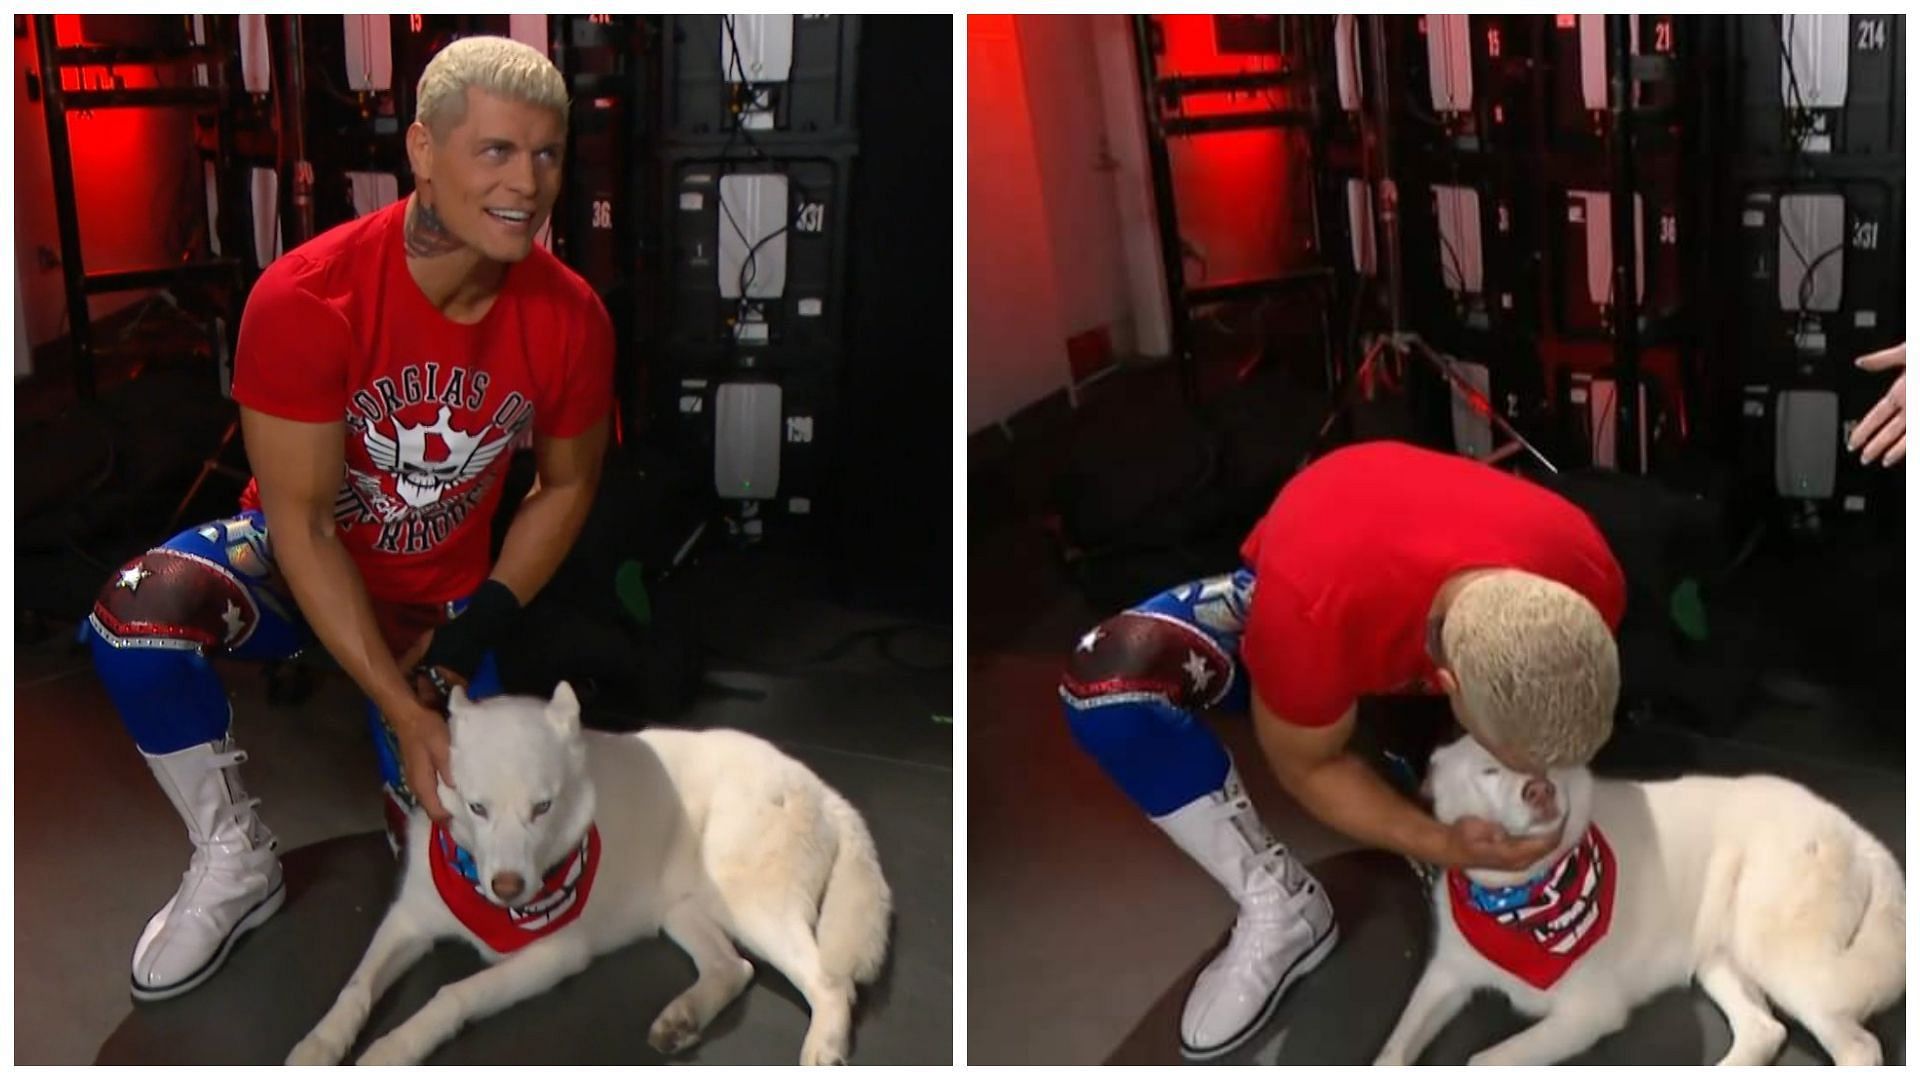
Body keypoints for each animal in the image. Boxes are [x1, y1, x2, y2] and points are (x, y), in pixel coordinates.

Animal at [284, 680, 890, 1060]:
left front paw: (389, 1050)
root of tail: (818, 785)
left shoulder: (552, 956)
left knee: (829, 982)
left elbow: (451, 995)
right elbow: (356, 988)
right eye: (477, 808)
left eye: (542, 808)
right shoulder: (408, 920)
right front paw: (318, 1046)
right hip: (682, 910)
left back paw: (822, 1046)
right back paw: (683, 1019)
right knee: (733, 968)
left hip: (750, 905)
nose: (509, 890)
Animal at [1374, 726, 1896, 1060]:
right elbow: (1393, 1051)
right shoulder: (1446, 975)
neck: (1522, 898)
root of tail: (1855, 832)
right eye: (1488, 771)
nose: (1540, 791)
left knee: (1859, 1046)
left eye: (1549, 760)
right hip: (1718, 957)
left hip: (1786, 958)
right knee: (1764, 1031)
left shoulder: (1587, 1013)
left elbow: (1483, 1060)